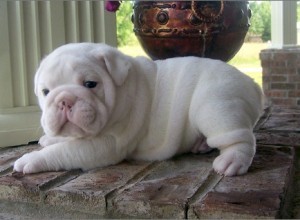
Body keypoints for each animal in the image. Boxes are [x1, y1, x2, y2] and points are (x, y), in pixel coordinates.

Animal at [13, 43, 262, 176]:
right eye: (46, 91)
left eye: (90, 84)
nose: (64, 100)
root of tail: (252, 83)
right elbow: (62, 141)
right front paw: (49, 139)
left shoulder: (105, 145)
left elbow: (62, 151)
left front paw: (31, 159)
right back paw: (200, 144)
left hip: (215, 105)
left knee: (239, 137)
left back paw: (232, 160)